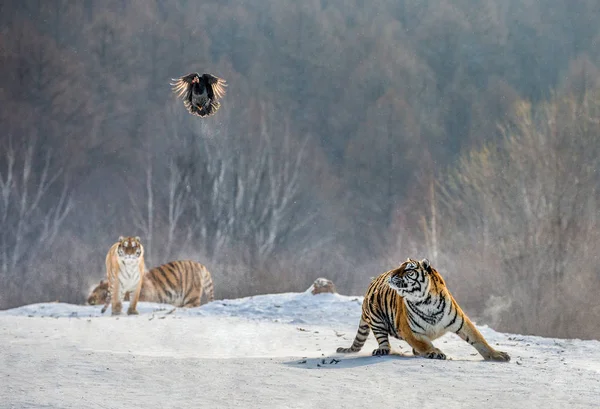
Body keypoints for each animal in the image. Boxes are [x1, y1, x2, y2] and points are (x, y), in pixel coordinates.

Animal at [338, 258, 510, 360]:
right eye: (398, 267)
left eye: (408, 270)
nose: (391, 275)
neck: (427, 302)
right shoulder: (410, 331)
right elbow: (424, 344)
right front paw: (435, 352)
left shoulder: (463, 322)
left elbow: (479, 340)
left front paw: (497, 355)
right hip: (376, 318)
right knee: (383, 340)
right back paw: (383, 350)